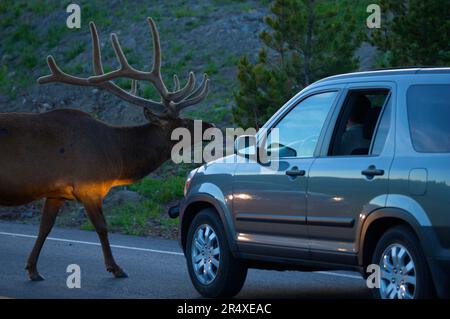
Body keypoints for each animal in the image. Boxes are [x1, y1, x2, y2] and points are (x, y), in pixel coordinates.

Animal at [0, 18, 211, 282]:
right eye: (181, 123)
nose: (210, 126)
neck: (117, 156)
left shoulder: (57, 192)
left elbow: (45, 227)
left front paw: (33, 269)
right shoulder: (88, 186)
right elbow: (102, 227)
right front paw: (115, 268)